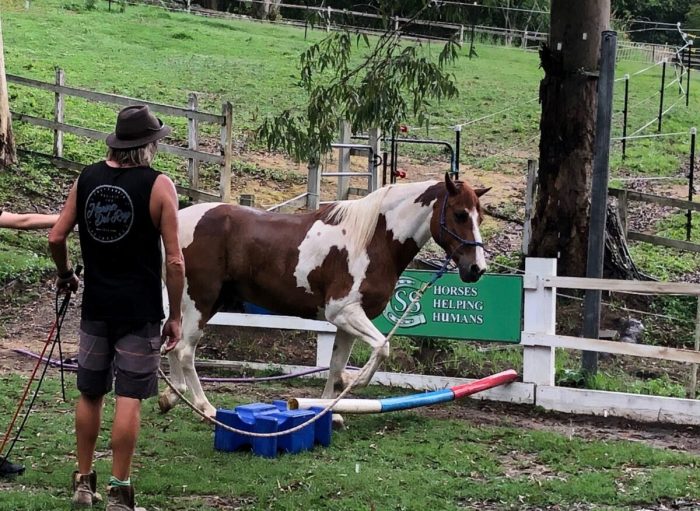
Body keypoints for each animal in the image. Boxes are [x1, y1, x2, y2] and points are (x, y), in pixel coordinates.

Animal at [158, 173, 489, 423]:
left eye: (480, 217)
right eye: (460, 214)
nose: (477, 269)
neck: (373, 240)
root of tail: (179, 219)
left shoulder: (347, 322)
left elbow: (335, 366)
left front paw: (331, 412)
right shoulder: (344, 312)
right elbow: (382, 348)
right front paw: (355, 382)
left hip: (199, 302)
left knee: (173, 341)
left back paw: (172, 395)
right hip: (201, 300)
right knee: (185, 350)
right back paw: (206, 408)